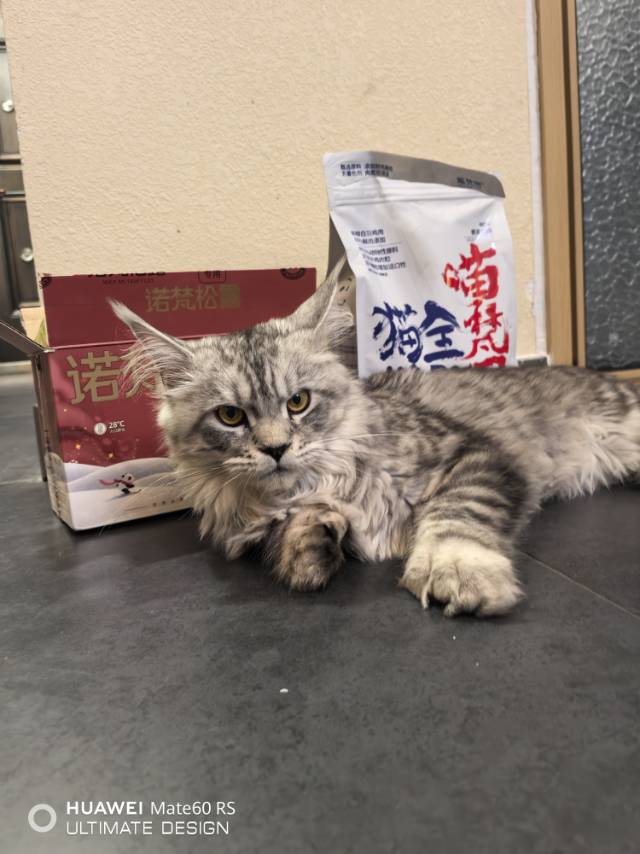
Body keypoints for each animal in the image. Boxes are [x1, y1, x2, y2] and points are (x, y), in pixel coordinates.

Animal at [111, 262, 640, 617]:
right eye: (230, 416)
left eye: (298, 402)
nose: (276, 449)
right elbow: (290, 531)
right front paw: (311, 546)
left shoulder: (473, 454)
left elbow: (456, 516)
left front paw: (459, 572)